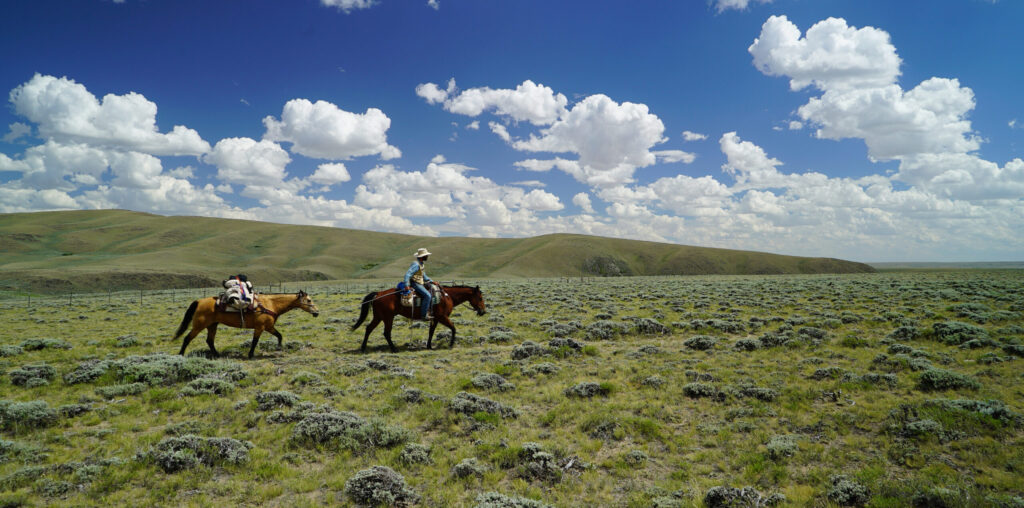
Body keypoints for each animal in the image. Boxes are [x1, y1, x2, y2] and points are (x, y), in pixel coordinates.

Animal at [352, 284, 487, 350]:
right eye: (480, 298)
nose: (483, 311)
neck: (447, 296)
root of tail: (378, 294)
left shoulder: (435, 319)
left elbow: (431, 332)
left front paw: (429, 346)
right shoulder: (442, 317)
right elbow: (453, 328)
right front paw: (451, 345)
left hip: (379, 317)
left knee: (368, 329)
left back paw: (363, 348)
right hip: (387, 318)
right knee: (386, 333)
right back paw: (394, 349)